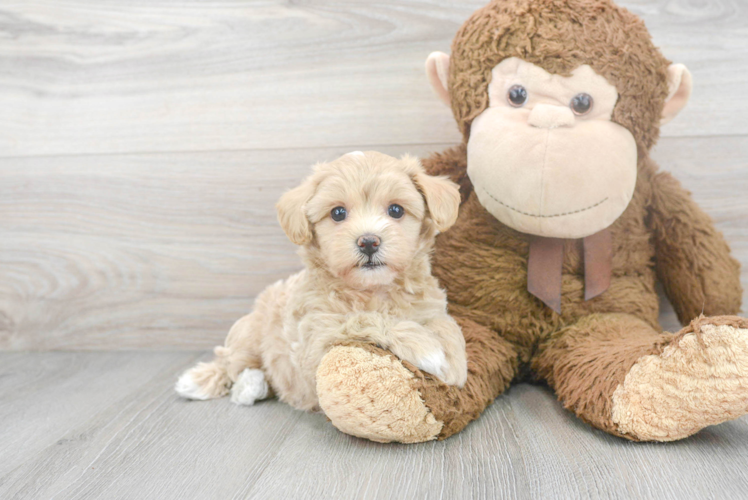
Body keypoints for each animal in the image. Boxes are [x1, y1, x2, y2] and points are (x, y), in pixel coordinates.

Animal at [177, 150, 468, 412]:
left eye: (396, 210)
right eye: (338, 213)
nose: (369, 241)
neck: (373, 290)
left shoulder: (429, 305)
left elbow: (446, 324)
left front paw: (454, 361)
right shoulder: (314, 339)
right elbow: (363, 318)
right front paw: (427, 348)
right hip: (248, 333)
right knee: (232, 363)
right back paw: (236, 384)